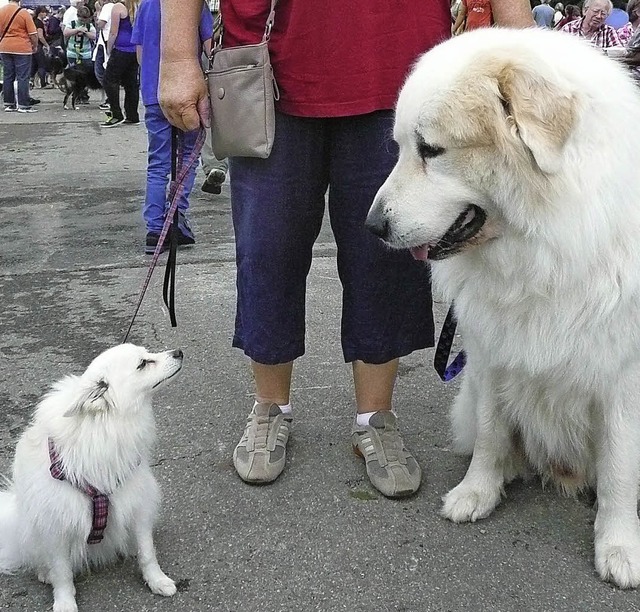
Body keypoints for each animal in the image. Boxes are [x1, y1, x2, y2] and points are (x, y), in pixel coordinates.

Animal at [0, 344, 182, 612]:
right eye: (142, 364)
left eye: (148, 353)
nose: (179, 352)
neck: (106, 424)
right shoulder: (57, 522)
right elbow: (62, 572)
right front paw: (65, 602)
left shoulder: (137, 503)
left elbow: (147, 552)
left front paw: (157, 580)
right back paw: (44, 572)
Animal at [364, 27, 640, 588]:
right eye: (400, 147)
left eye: (431, 150)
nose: (372, 226)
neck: (545, 245)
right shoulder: (491, 355)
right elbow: (492, 435)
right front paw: (477, 492)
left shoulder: (623, 377)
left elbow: (621, 467)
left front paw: (620, 547)